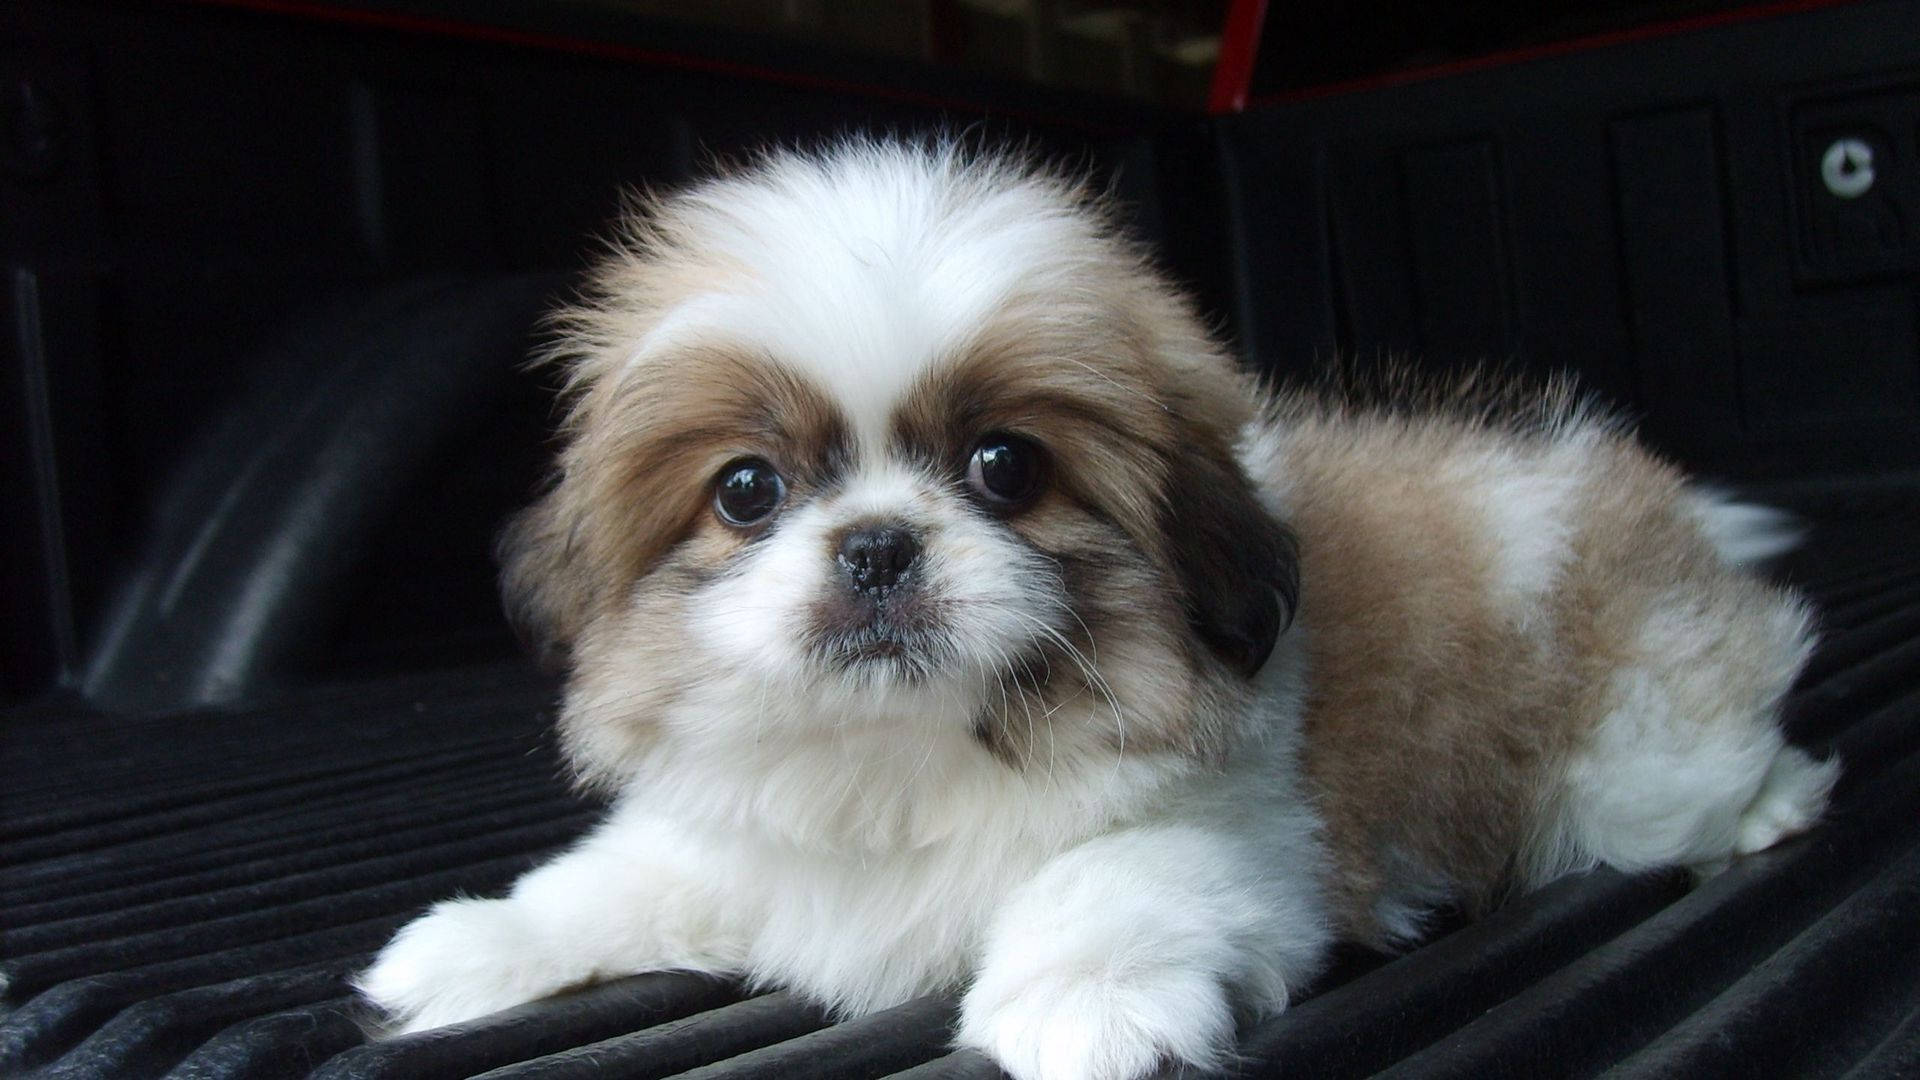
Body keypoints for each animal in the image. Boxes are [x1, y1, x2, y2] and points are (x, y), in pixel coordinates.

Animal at [360, 141, 1843, 1076]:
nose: (878, 546)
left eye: (1006, 467)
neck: (901, 762)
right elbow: (618, 877)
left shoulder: (1241, 833)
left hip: (1643, 751)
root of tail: (1628, 492)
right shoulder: (735, 840)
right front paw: (480, 942)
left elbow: (1109, 877)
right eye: (745, 491)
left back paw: (1773, 802)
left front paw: (1080, 1008)